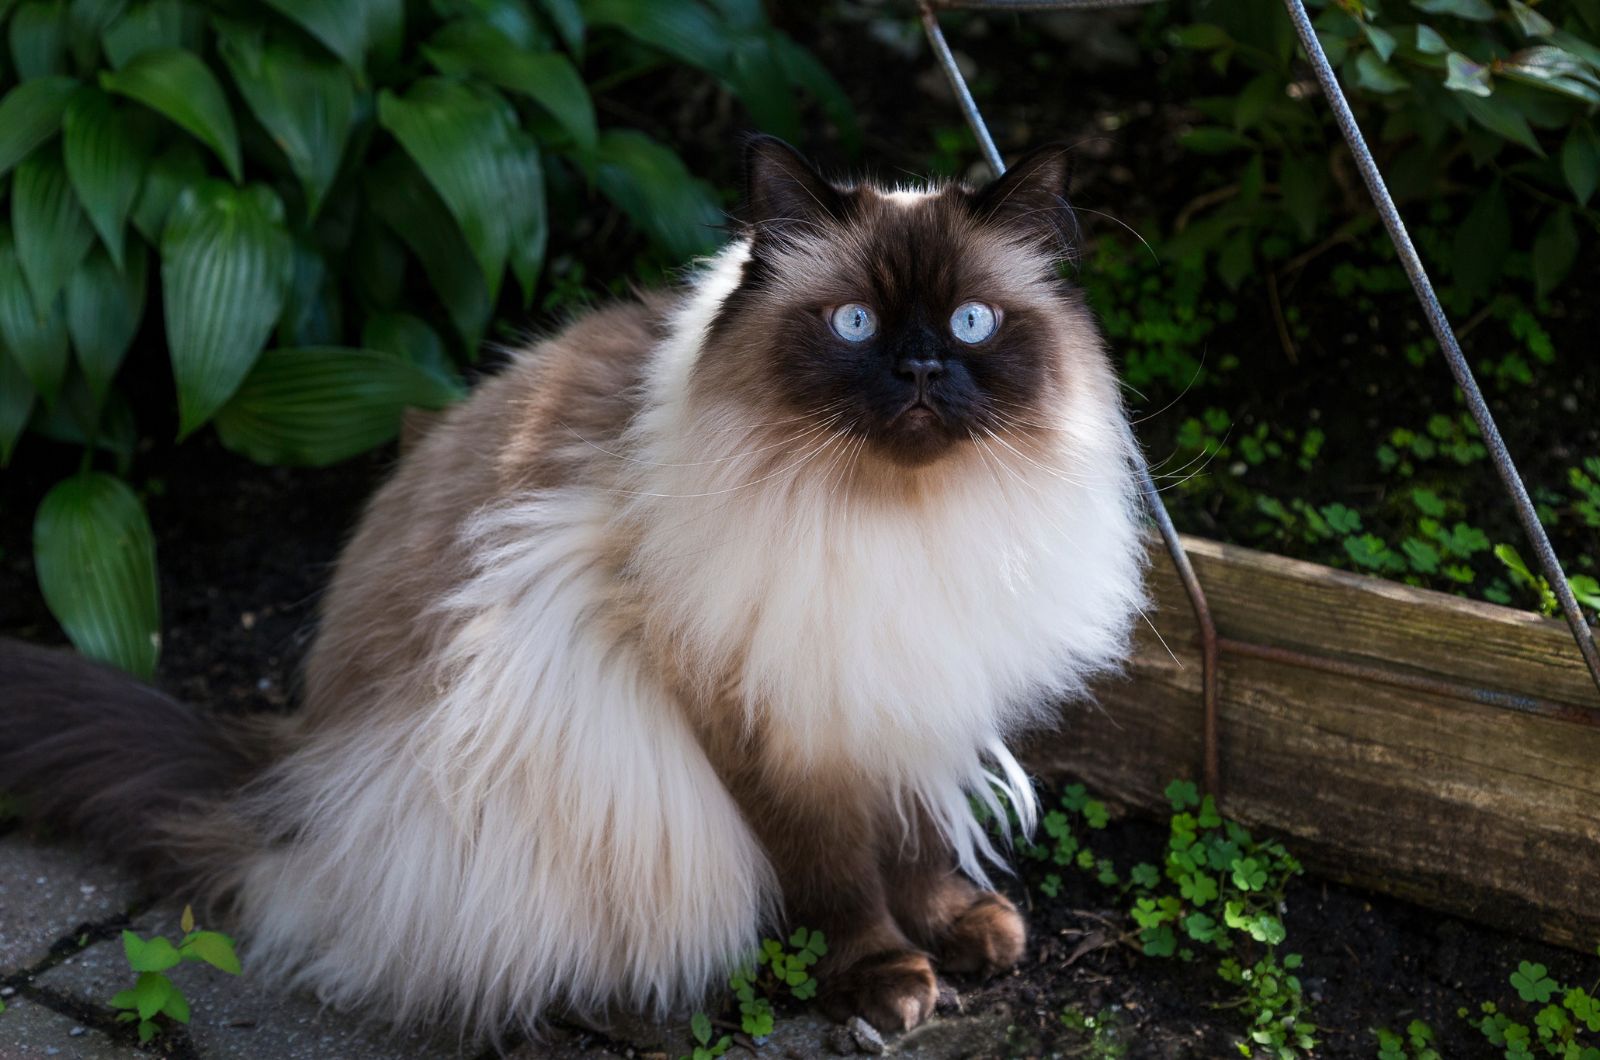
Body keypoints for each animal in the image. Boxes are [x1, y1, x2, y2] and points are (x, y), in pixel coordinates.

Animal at [0, 136, 1152, 1043]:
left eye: (970, 324)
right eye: (855, 325)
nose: (917, 370)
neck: (896, 523)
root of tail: (282, 775)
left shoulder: (903, 689)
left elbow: (914, 841)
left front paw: (961, 928)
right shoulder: (774, 713)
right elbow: (837, 872)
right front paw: (886, 978)